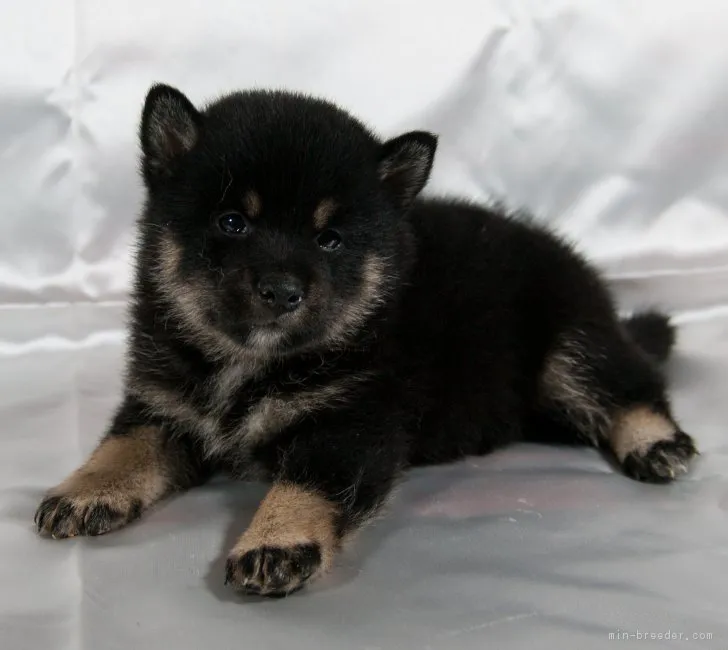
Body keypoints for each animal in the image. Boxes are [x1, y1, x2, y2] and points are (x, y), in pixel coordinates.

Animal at [35, 83, 700, 596]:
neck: (250, 359)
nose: (282, 290)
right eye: (232, 222)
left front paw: (277, 537)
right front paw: (86, 490)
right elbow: (123, 448)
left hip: (569, 346)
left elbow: (310, 483)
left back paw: (655, 441)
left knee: (630, 382)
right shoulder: (163, 405)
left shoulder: (353, 424)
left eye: (329, 239)